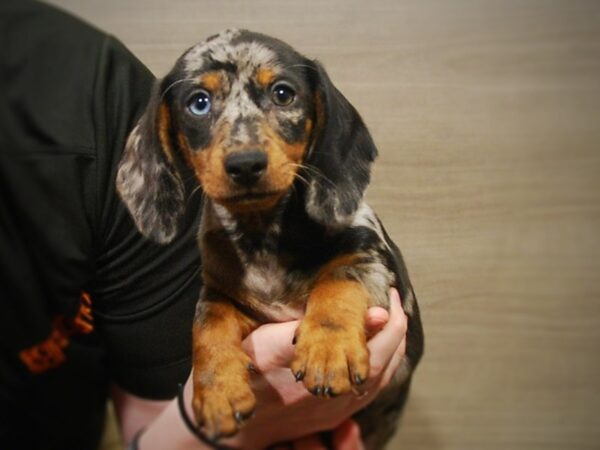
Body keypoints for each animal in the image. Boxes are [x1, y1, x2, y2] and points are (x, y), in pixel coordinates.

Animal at [117, 29, 424, 448]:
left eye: (283, 94)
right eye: (199, 102)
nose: (245, 164)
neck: (261, 232)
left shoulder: (371, 256)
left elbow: (337, 281)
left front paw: (328, 351)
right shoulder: (223, 294)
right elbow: (207, 323)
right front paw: (217, 392)